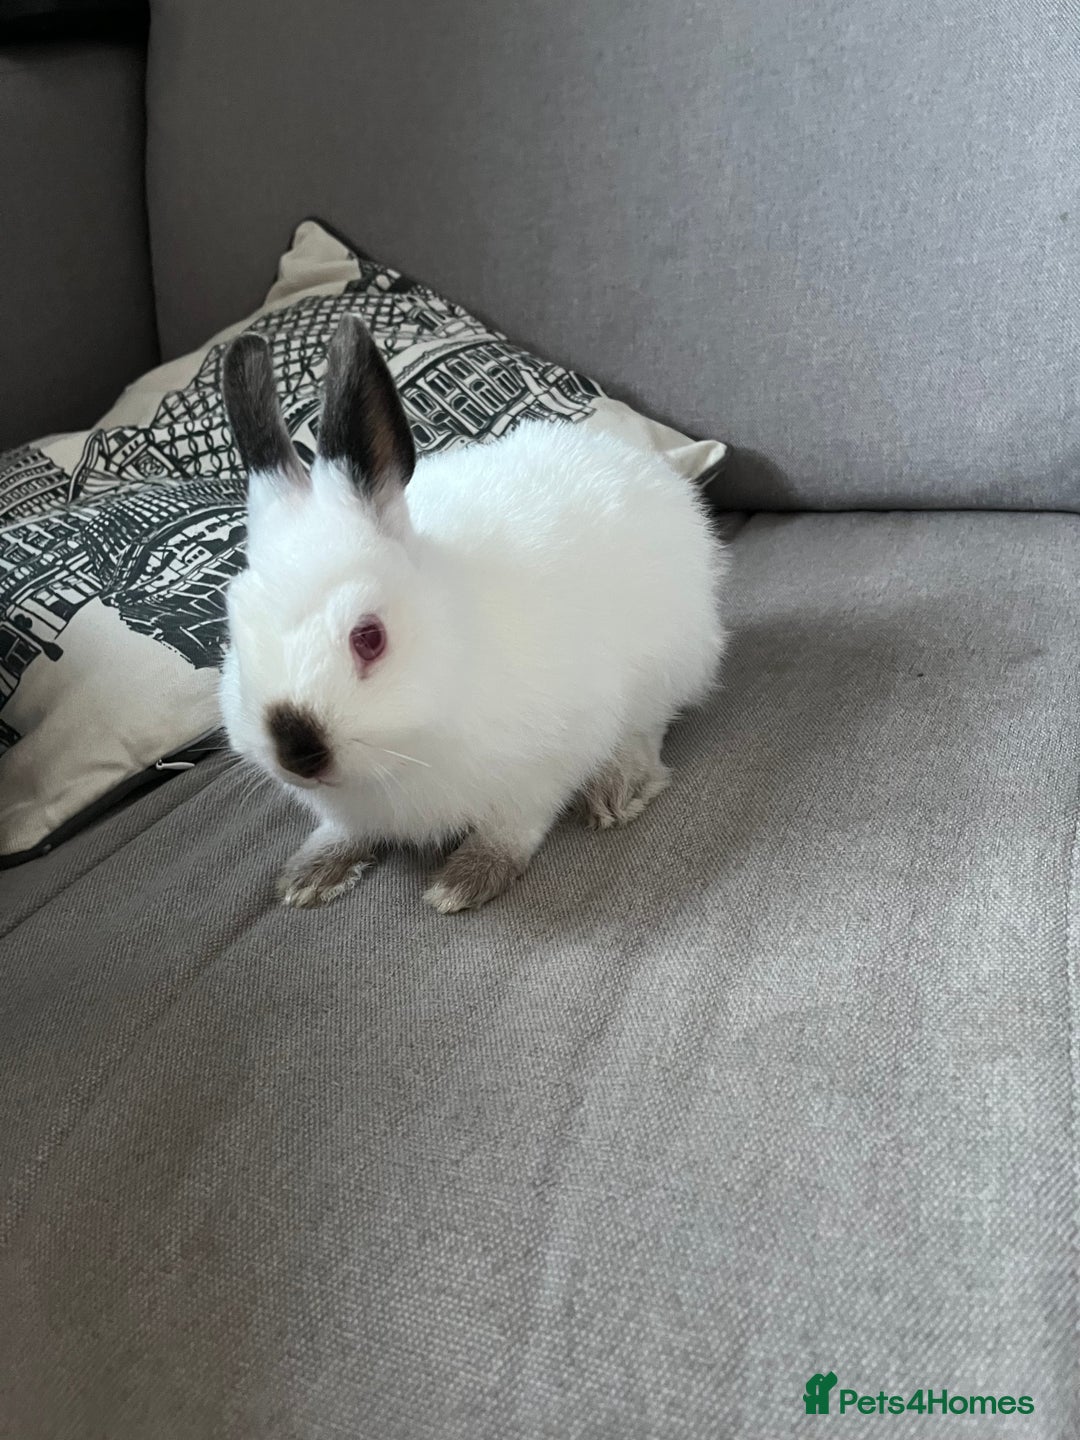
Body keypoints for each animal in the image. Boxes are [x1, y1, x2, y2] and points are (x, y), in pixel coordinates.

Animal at [218, 314, 726, 914]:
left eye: (370, 637)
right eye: (237, 634)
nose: (297, 753)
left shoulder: (545, 766)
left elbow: (515, 826)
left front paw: (466, 880)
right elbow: (345, 830)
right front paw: (312, 874)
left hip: (666, 663)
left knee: (648, 728)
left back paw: (619, 786)